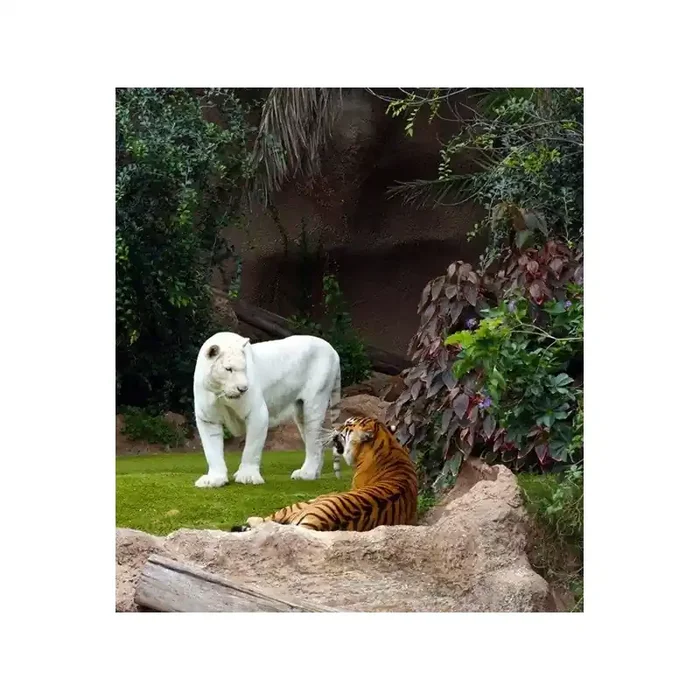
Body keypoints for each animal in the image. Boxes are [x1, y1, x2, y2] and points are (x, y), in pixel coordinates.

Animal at [230, 416, 418, 532]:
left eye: (348, 425)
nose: (336, 427)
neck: (387, 445)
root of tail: (317, 523)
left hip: (308, 502)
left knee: (267, 520)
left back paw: (251, 519)